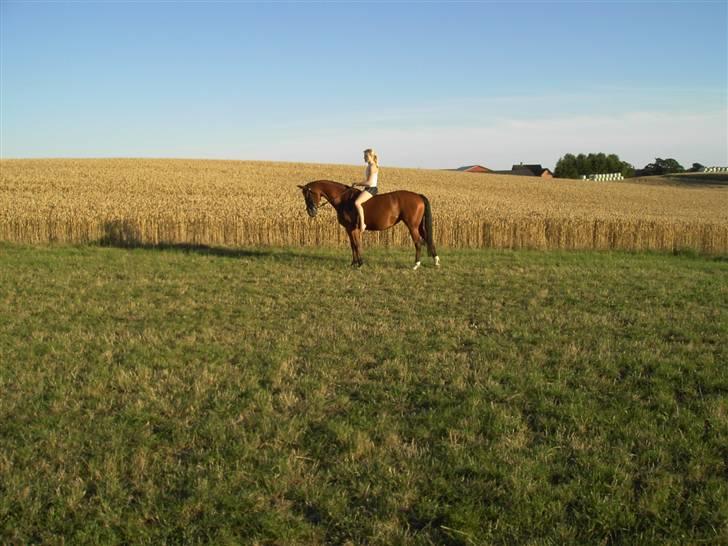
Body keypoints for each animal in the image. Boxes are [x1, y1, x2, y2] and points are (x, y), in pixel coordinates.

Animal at [296, 180, 438, 266]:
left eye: (308, 195)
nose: (311, 212)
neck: (343, 199)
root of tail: (418, 196)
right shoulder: (349, 229)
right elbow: (353, 245)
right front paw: (354, 263)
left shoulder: (353, 228)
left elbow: (357, 244)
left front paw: (360, 263)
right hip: (419, 226)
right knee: (428, 240)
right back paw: (436, 262)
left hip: (412, 226)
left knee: (418, 242)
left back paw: (416, 265)